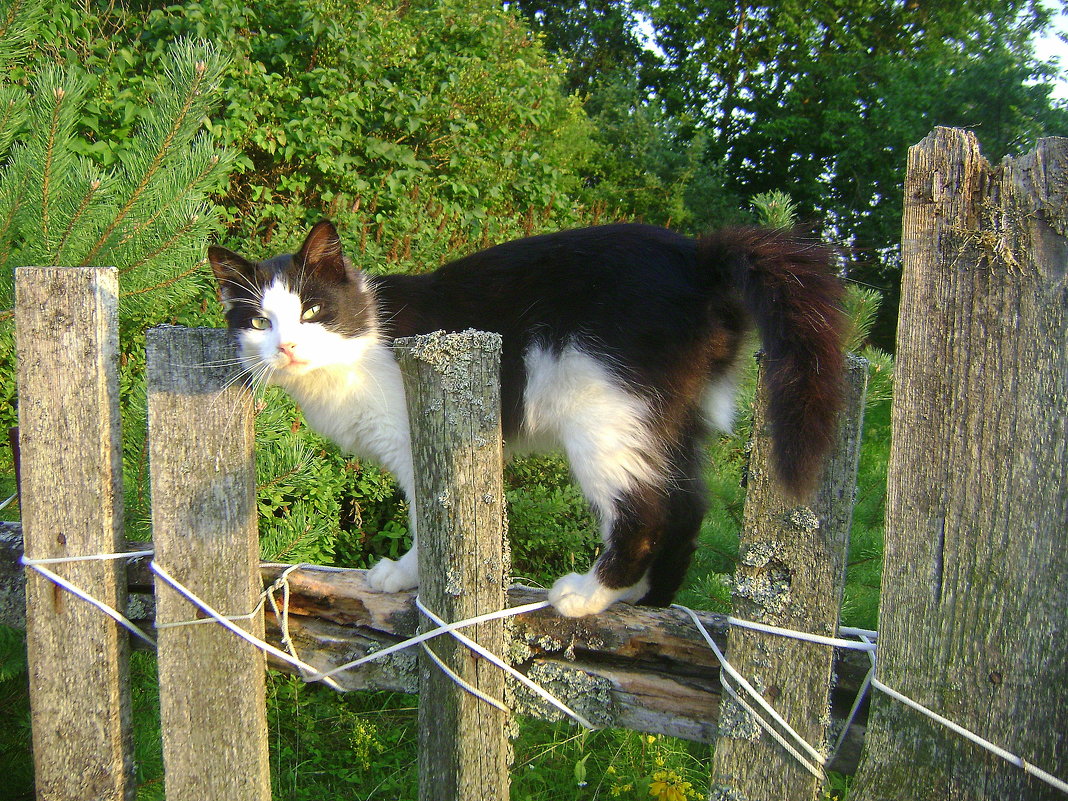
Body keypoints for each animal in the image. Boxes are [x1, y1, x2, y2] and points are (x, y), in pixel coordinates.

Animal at [206, 216, 841, 619]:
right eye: (259, 323)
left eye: (313, 310)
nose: (287, 348)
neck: (362, 337)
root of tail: (698, 255)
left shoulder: (416, 447)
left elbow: (427, 521)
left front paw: (407, 575)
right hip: (669, 419)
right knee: (687, 507)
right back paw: (645, 599)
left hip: (606, 415)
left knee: (646, 511)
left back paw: (589, 595)